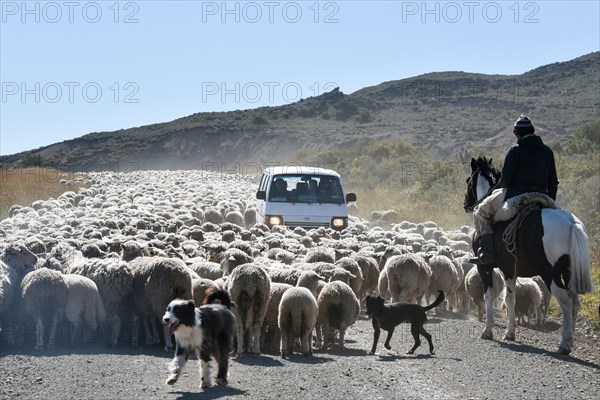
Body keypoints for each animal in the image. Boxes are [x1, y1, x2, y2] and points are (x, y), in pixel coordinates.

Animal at [464, 156, 592, 354]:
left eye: (468, 181)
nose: (466, 204)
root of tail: (571, 223)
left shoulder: (484, 267)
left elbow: (489, 296)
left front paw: (488, 330)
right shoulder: (509, 270)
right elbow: (510, 299)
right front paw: (510, 332)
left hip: (550, 273)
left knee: (566, 299)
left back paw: (564, 343)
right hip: (568, 272)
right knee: (575, 302)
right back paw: (570, 341)